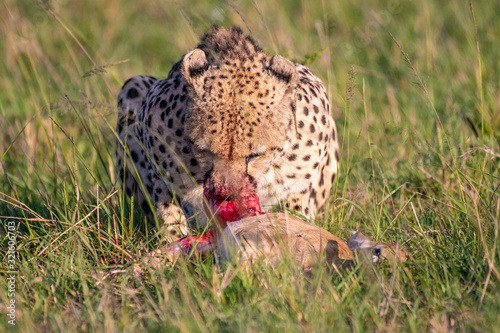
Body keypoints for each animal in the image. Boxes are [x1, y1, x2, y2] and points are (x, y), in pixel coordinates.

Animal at [116, 26, 340, 239]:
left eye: (254, 155)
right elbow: (167, 208)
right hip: (132, 86)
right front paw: (172, 242)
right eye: (206, 151)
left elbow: (297, 206)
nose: (227, 194)